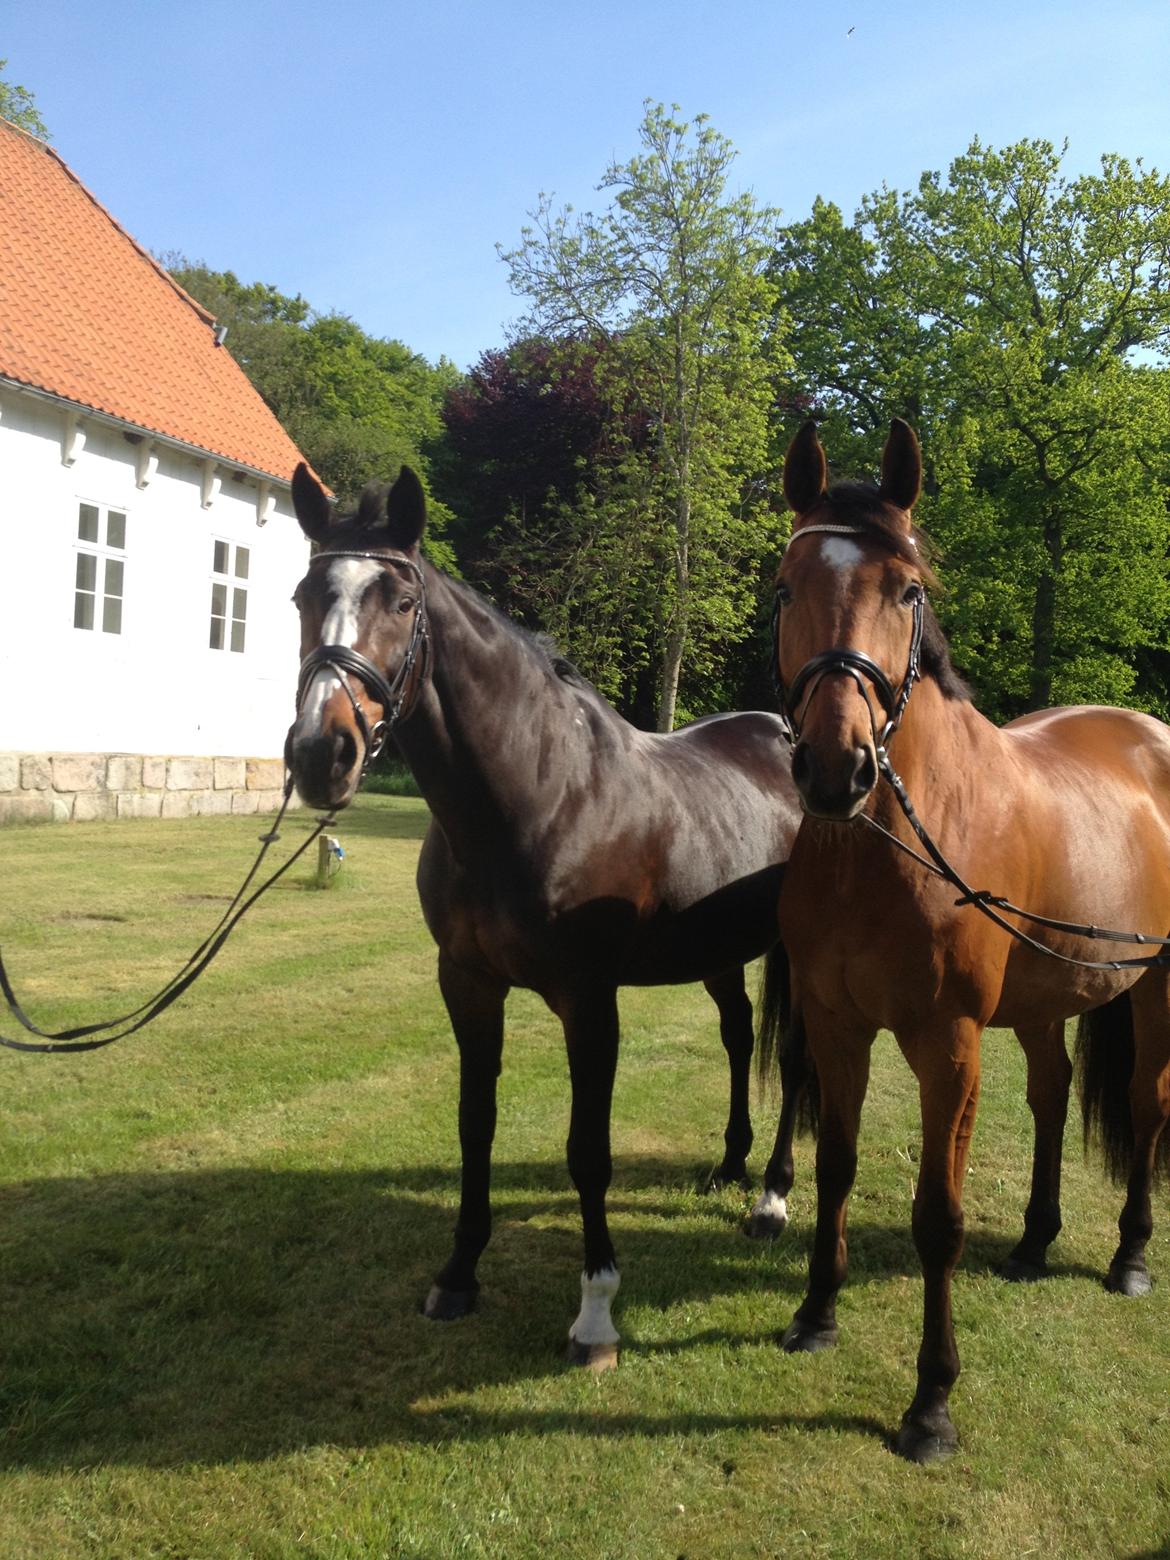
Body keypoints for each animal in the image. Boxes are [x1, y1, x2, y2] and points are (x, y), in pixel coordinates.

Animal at [288, 458, 811, 1366]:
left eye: (402, 602)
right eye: (298, 597)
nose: (323, 754)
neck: (538, 795)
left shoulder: (588, 1002)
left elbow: (587, 1151)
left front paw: (596, 1315)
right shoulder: (466, 985)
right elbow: (476, 1125)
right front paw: (459, 1273)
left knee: (799, 1057)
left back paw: (772, 1199)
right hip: (716, 954)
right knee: (740, 1036)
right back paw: (730, 1165)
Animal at [770, 418, 1170, 1460]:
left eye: (907, 592)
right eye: (786, 587)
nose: (835, 768)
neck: (888, 844)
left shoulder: (947, 1045)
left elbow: (938, 1218)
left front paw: (931, 1402)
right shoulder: (835, 1027)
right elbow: (834, 1167)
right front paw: (816, 1313)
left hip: (1156, 991)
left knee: (1146, 1107)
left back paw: (1129, 1256)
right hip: (1044, 1000)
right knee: (1052, 1095)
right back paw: (1034, 1240)